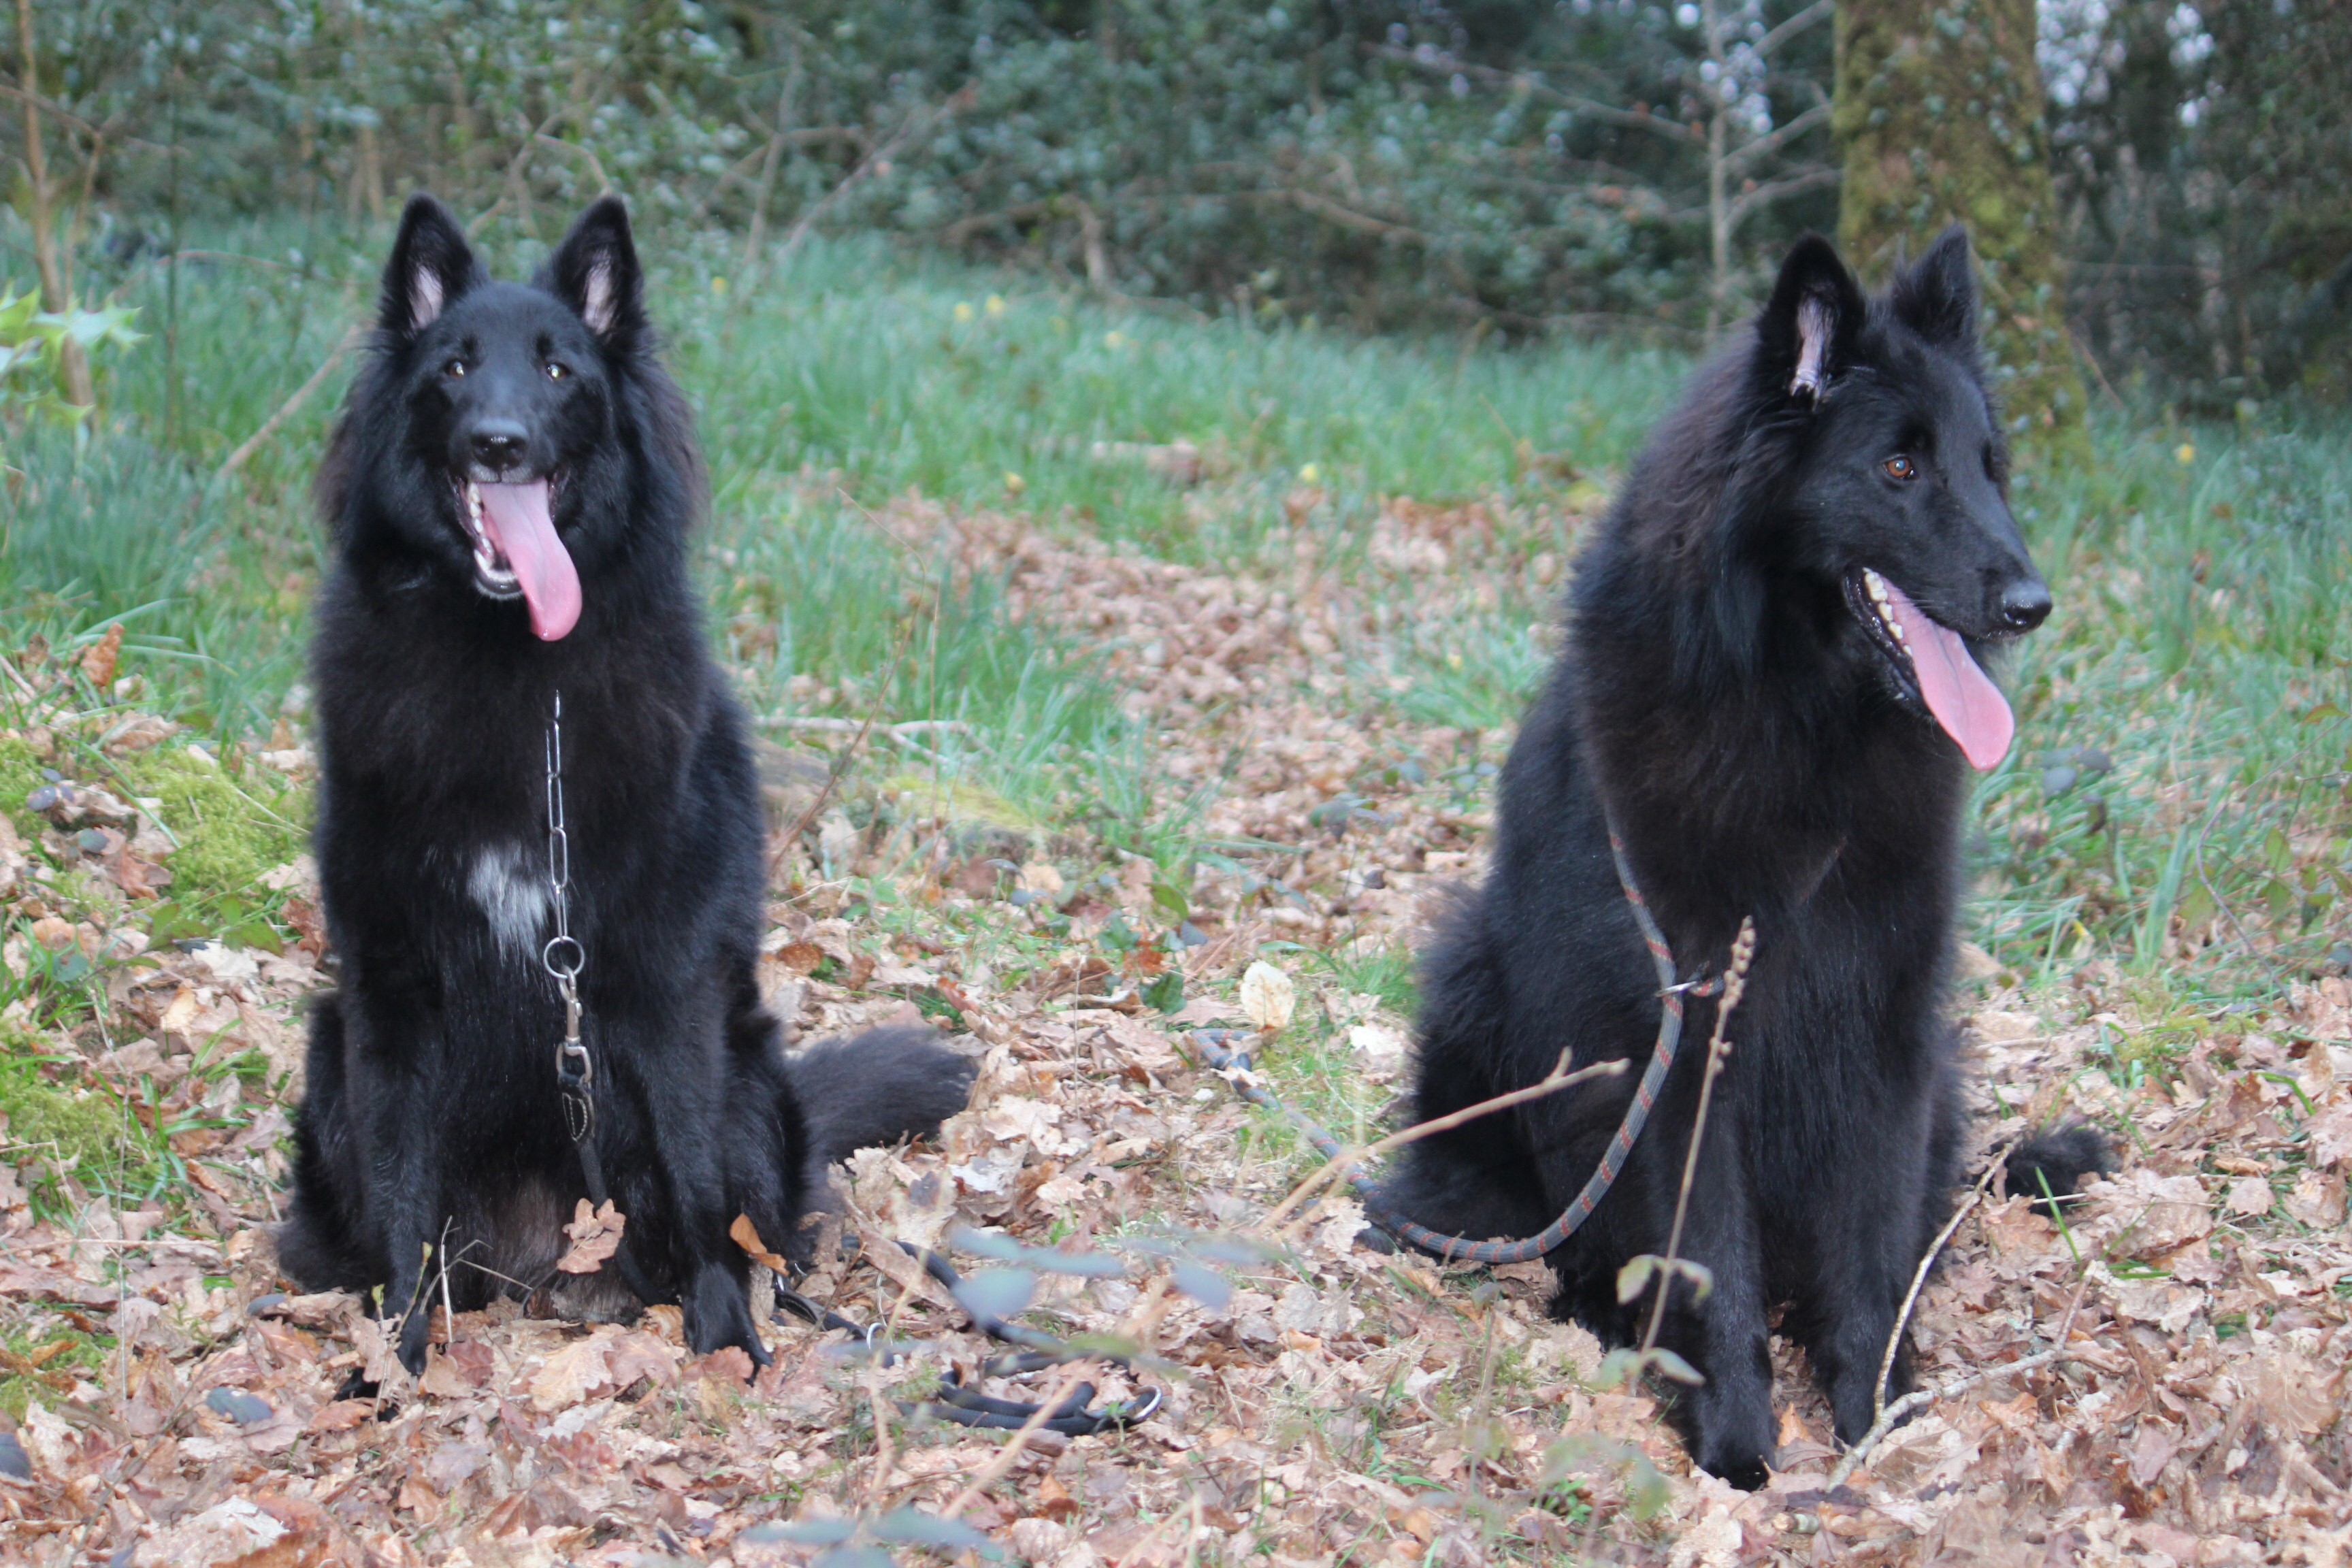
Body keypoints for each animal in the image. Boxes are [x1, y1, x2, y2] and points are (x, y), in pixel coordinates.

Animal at [284, 193, 973, 1373]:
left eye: (559, 371)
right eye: (455, 367)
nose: (500, 442)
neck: (517, 670)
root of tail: (545, 1267)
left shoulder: (666, 985)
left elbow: (697, 1183)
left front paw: (728, 1342)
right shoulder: (392, 993)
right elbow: (405, 1199)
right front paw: (395, 1364)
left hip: (749, 1069)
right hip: (329, 1049)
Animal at [1373, 230, 2107, 1486]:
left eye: (1988, 469)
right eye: (1900, 468)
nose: (2031, 603)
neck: (1798, 721)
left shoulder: (1886, 1031)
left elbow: (1870, 1255)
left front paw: (1870, 1421)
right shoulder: (1685, 1035)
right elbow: (1711, 1258)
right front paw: (1735, 1445)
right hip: (1477, 985)